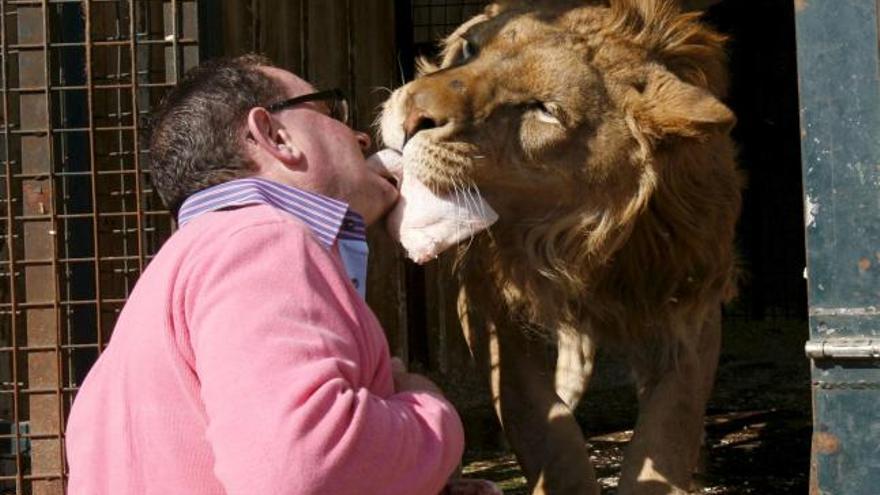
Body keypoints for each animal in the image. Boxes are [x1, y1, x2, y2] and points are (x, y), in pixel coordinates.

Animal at [378, 1, 744, 494]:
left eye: (543, 110)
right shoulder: (487, 304)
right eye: (471, 48)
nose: (411, 117)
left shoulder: (691, 299)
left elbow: (670, 424)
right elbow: (541, 421)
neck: (574, 239)